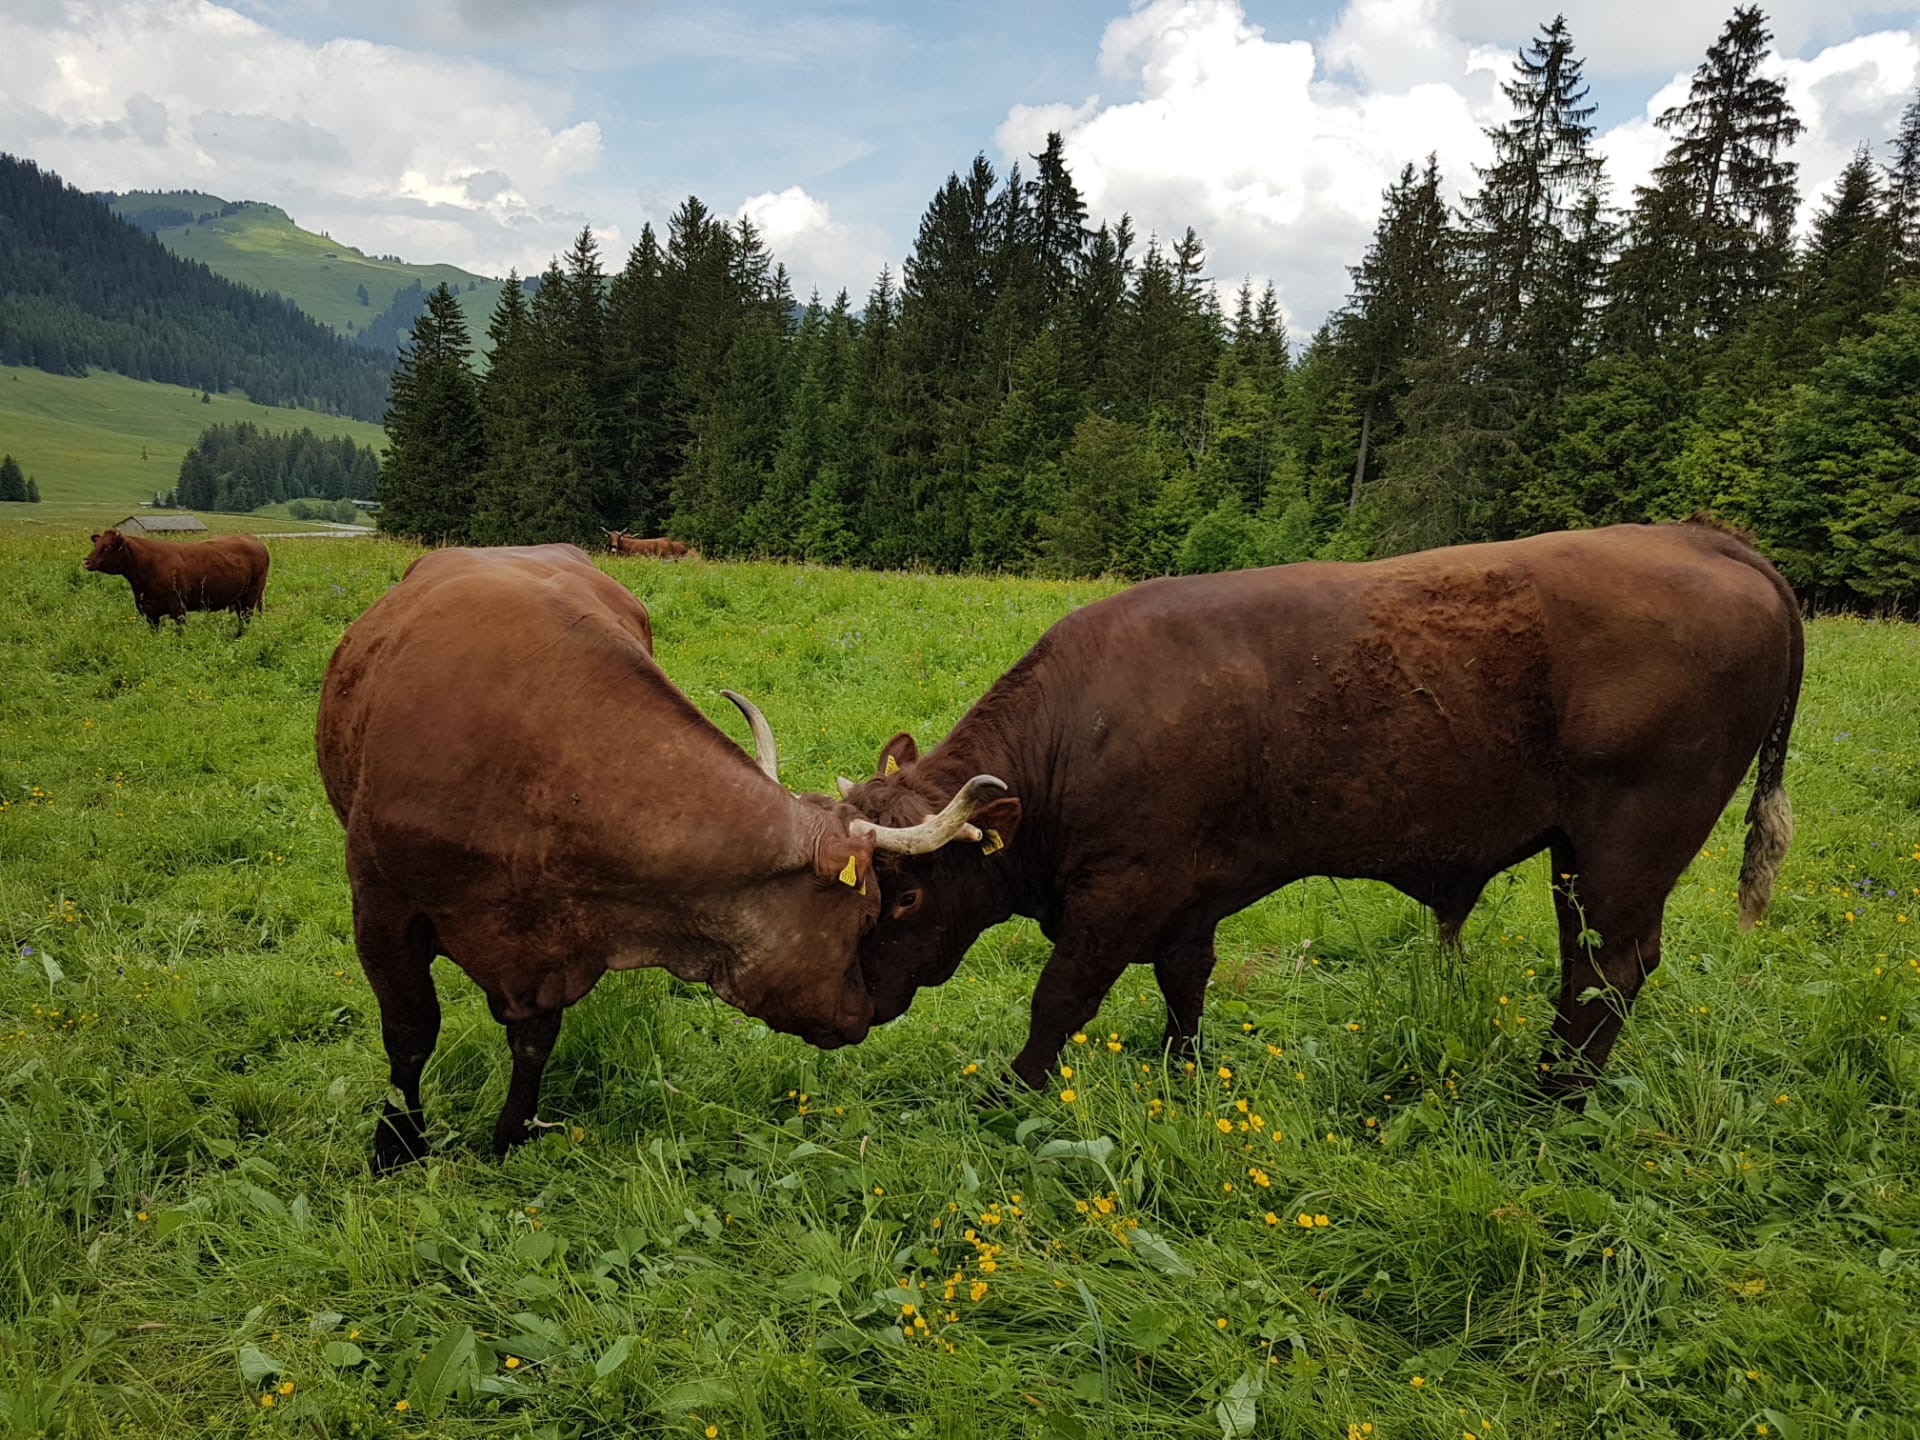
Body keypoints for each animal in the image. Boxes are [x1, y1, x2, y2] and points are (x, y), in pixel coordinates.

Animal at [82, 528, 270, 629]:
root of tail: (254, 539)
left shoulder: (178, 607)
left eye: (107, 547)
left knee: (245, 621)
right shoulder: (150, 612)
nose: (86, 561)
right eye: (96, 544)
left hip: (251, 596)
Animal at [315, 542, 973, 1171]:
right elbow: (410, 1033)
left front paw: (514, 1133)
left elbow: (533, 1040)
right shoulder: (380, 910)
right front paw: (396, 1145)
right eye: (866, 915)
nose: (866, 1011)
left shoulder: (557, 943)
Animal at [832, 519, 1803, 1102]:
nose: (851, 1008)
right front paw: (1181, 1076)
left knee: (1611, 968)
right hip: (1577, 853)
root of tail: (1706, 539)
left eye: (907, 896)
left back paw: (1550, 1097)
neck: (1082, 725)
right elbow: (1185, 988)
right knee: (1588, 965)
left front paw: (1013, 1091)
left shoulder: (1119, 895)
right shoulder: (1188, 900)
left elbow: (1059, 999)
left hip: (1628, 846)